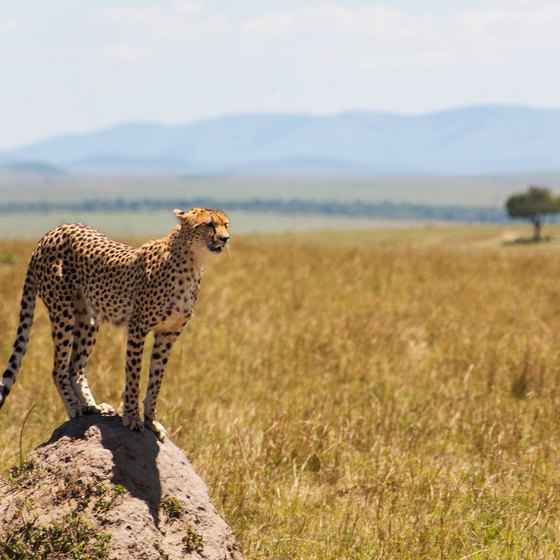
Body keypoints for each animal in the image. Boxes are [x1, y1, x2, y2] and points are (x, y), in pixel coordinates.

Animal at [0, 208, 230, 440]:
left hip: (88, 319)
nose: (225, 238)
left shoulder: (168, 334)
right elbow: (133, 375)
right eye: (209, 224)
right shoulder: (138, 328)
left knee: (75, 366)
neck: (193, 259)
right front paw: (132, 417)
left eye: (226, 224)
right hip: (62, 312)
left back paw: (92, 406)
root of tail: (52, 232)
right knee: (59, 368)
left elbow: (156, 381)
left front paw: (151, 421)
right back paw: (74, 407)